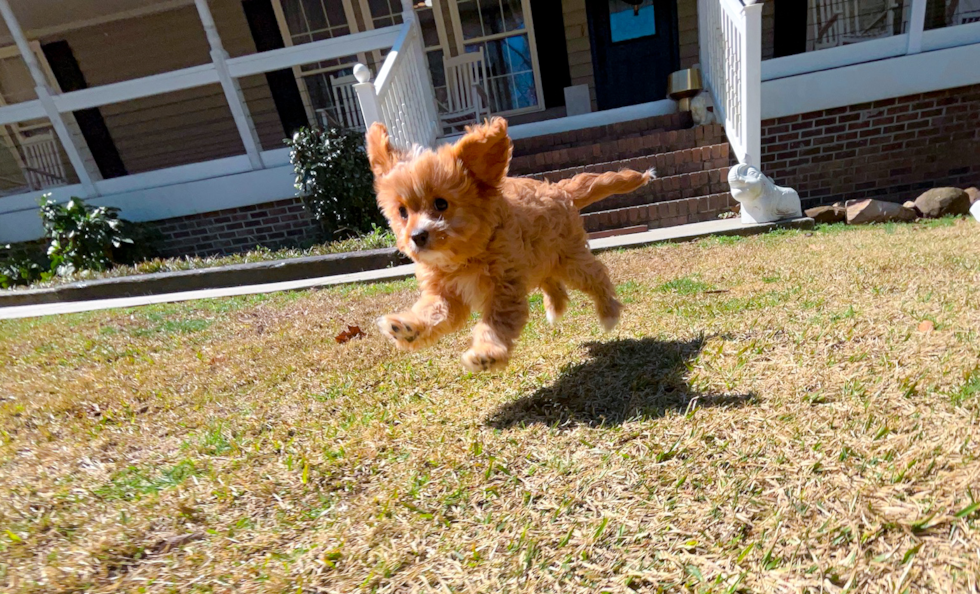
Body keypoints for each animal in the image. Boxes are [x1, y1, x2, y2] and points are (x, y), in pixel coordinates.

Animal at [368, 115, 652, 370]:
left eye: (441, 204)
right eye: (402, 212)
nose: (417, 236)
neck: (464, 258)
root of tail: (560, 190)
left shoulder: (503, 290)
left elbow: (496, 323)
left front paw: (486, 352)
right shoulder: (445, 292)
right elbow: (433, 311)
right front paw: (407, 326)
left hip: (570, 260)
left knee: (596, 276)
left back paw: (609, 313)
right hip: (540, 258)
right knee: (552, 282)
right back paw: (555, 308)